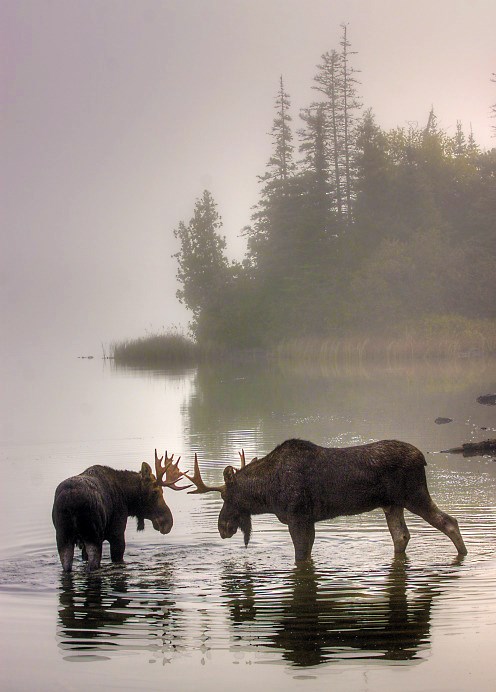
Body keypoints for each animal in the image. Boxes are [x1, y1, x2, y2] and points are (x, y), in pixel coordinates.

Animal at [52, 448, 188, 572]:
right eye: (156, 492)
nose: (168, 522)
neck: (127, 497)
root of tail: (70, 499)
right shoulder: (117, 533)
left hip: (63, 538)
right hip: (92, 536)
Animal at [186, 440, 468, 564]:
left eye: (225, 496)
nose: (222, 527)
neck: (267, 494)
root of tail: (423, 458)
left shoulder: (297, 517)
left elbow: (301, 555)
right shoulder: (308, 519)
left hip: (413, 495)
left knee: (449, 521)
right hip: (392, 504)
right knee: (402, 536)